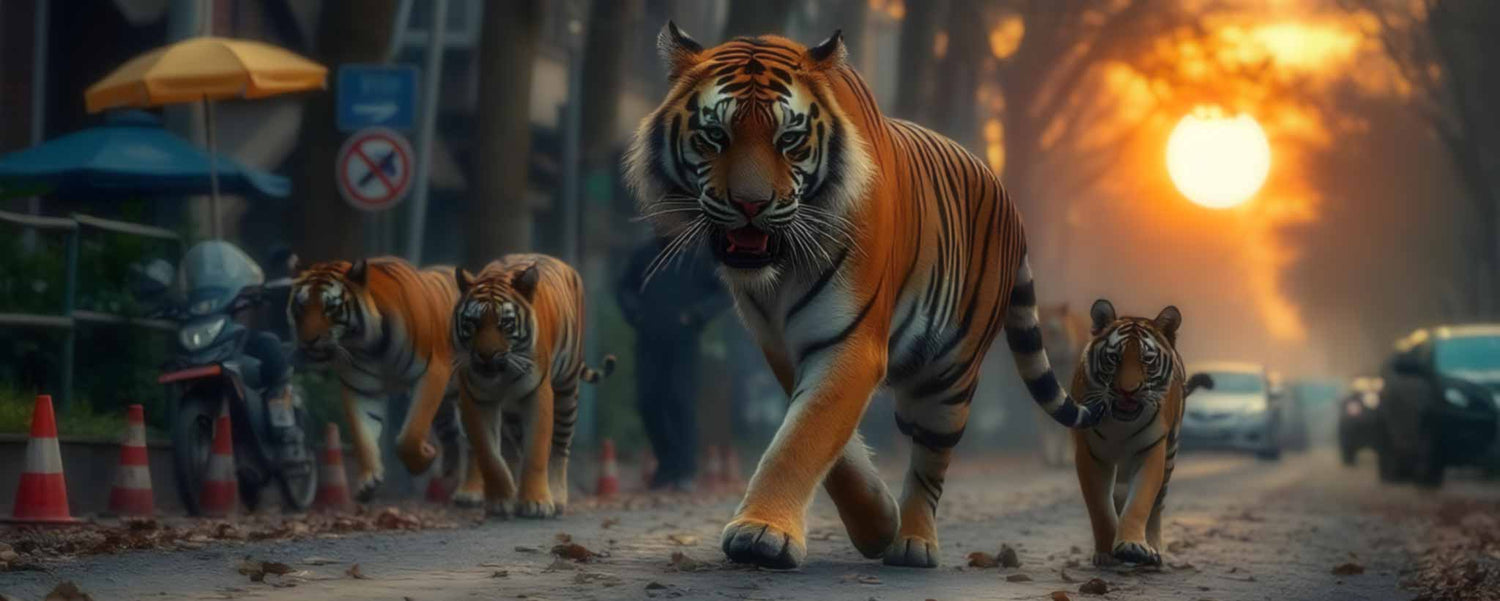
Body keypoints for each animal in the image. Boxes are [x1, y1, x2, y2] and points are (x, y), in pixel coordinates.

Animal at [287, 257, 476, 502]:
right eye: (301, 306)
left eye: (330, 307)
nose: (309, 341)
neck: (371, 347)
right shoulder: (360, 389)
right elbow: (363, 436)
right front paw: (368, 481)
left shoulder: (432, 372)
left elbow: (411, 434)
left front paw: (424, 459)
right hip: (446, 404)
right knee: (453, 435)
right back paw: (449, 474)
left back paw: (470, 493)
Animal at [450, 254, 614, 518]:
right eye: (473, 323)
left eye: (505, 324)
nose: (486, 356)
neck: (502, 375)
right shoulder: (476, 398)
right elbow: (490, 455)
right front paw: (501, 500)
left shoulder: (537, 394)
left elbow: (536, 451)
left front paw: (536, 503)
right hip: (512, 414)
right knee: (517, 447)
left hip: (566, 392)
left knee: (560, 447)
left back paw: (557, 497)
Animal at [1071, 299, 1213, 567]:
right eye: (1114, 358)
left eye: (1147, 359)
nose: (1128, 391)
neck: (1120, 424)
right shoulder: (1091, 455)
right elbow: (1100, 507)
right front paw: (1106, 551)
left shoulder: (1151, 451)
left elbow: (1140, 502)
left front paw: (1132, 545)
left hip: (1170, 454)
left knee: (1157, 505)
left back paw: (1155, 548)